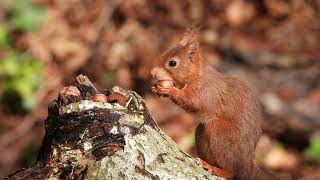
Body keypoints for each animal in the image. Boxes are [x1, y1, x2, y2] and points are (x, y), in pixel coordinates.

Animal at [151, 27, 276, 179]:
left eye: (172, 63)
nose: (153, 73)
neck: (198, 74)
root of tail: (247, 166)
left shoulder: (206, 90)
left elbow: (194, 102)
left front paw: (169, 90)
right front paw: (157, 89)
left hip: (219, 131)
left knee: (231, 172)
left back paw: (213, 169)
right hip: (201, 132)